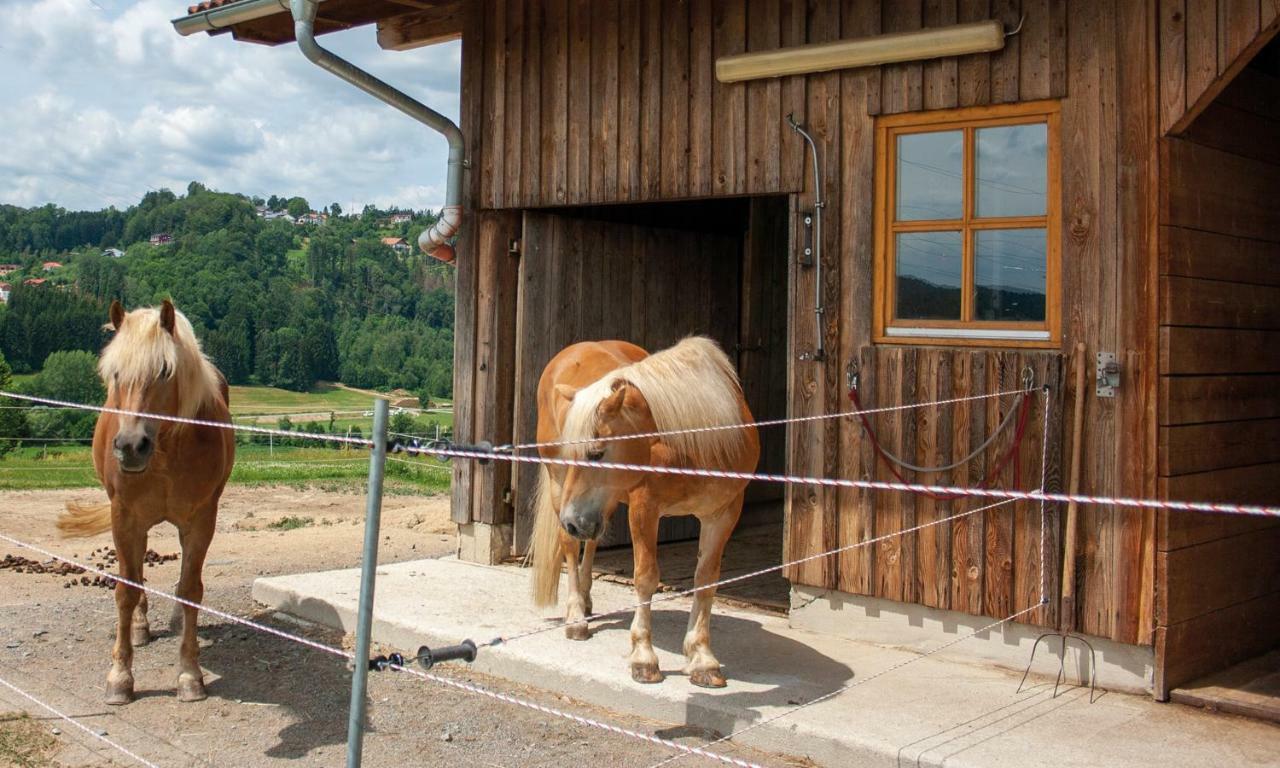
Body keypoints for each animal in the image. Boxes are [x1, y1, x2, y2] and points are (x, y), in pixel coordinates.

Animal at [57, 298, 235, 701]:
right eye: (115, 373)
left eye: (166, 370)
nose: (130, 446)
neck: (166, 453)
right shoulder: (125, 517)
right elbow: (126, 588)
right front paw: (120, 678)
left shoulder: (202, 520)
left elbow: (191, 589)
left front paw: (189, 675)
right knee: (136, 575)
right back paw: (140, 627)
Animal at [529, 337, 757, 686]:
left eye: (597, 453)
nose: (571, 521)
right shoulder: (644, 507)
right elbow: (646, 577)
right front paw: (644, 658)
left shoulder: (723, 514)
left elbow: (706, 579)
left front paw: (702, 658)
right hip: (560, 486)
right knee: (570, 545)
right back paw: (576, 616)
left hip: (599, 507)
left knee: (590, 541)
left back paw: (586, 598)